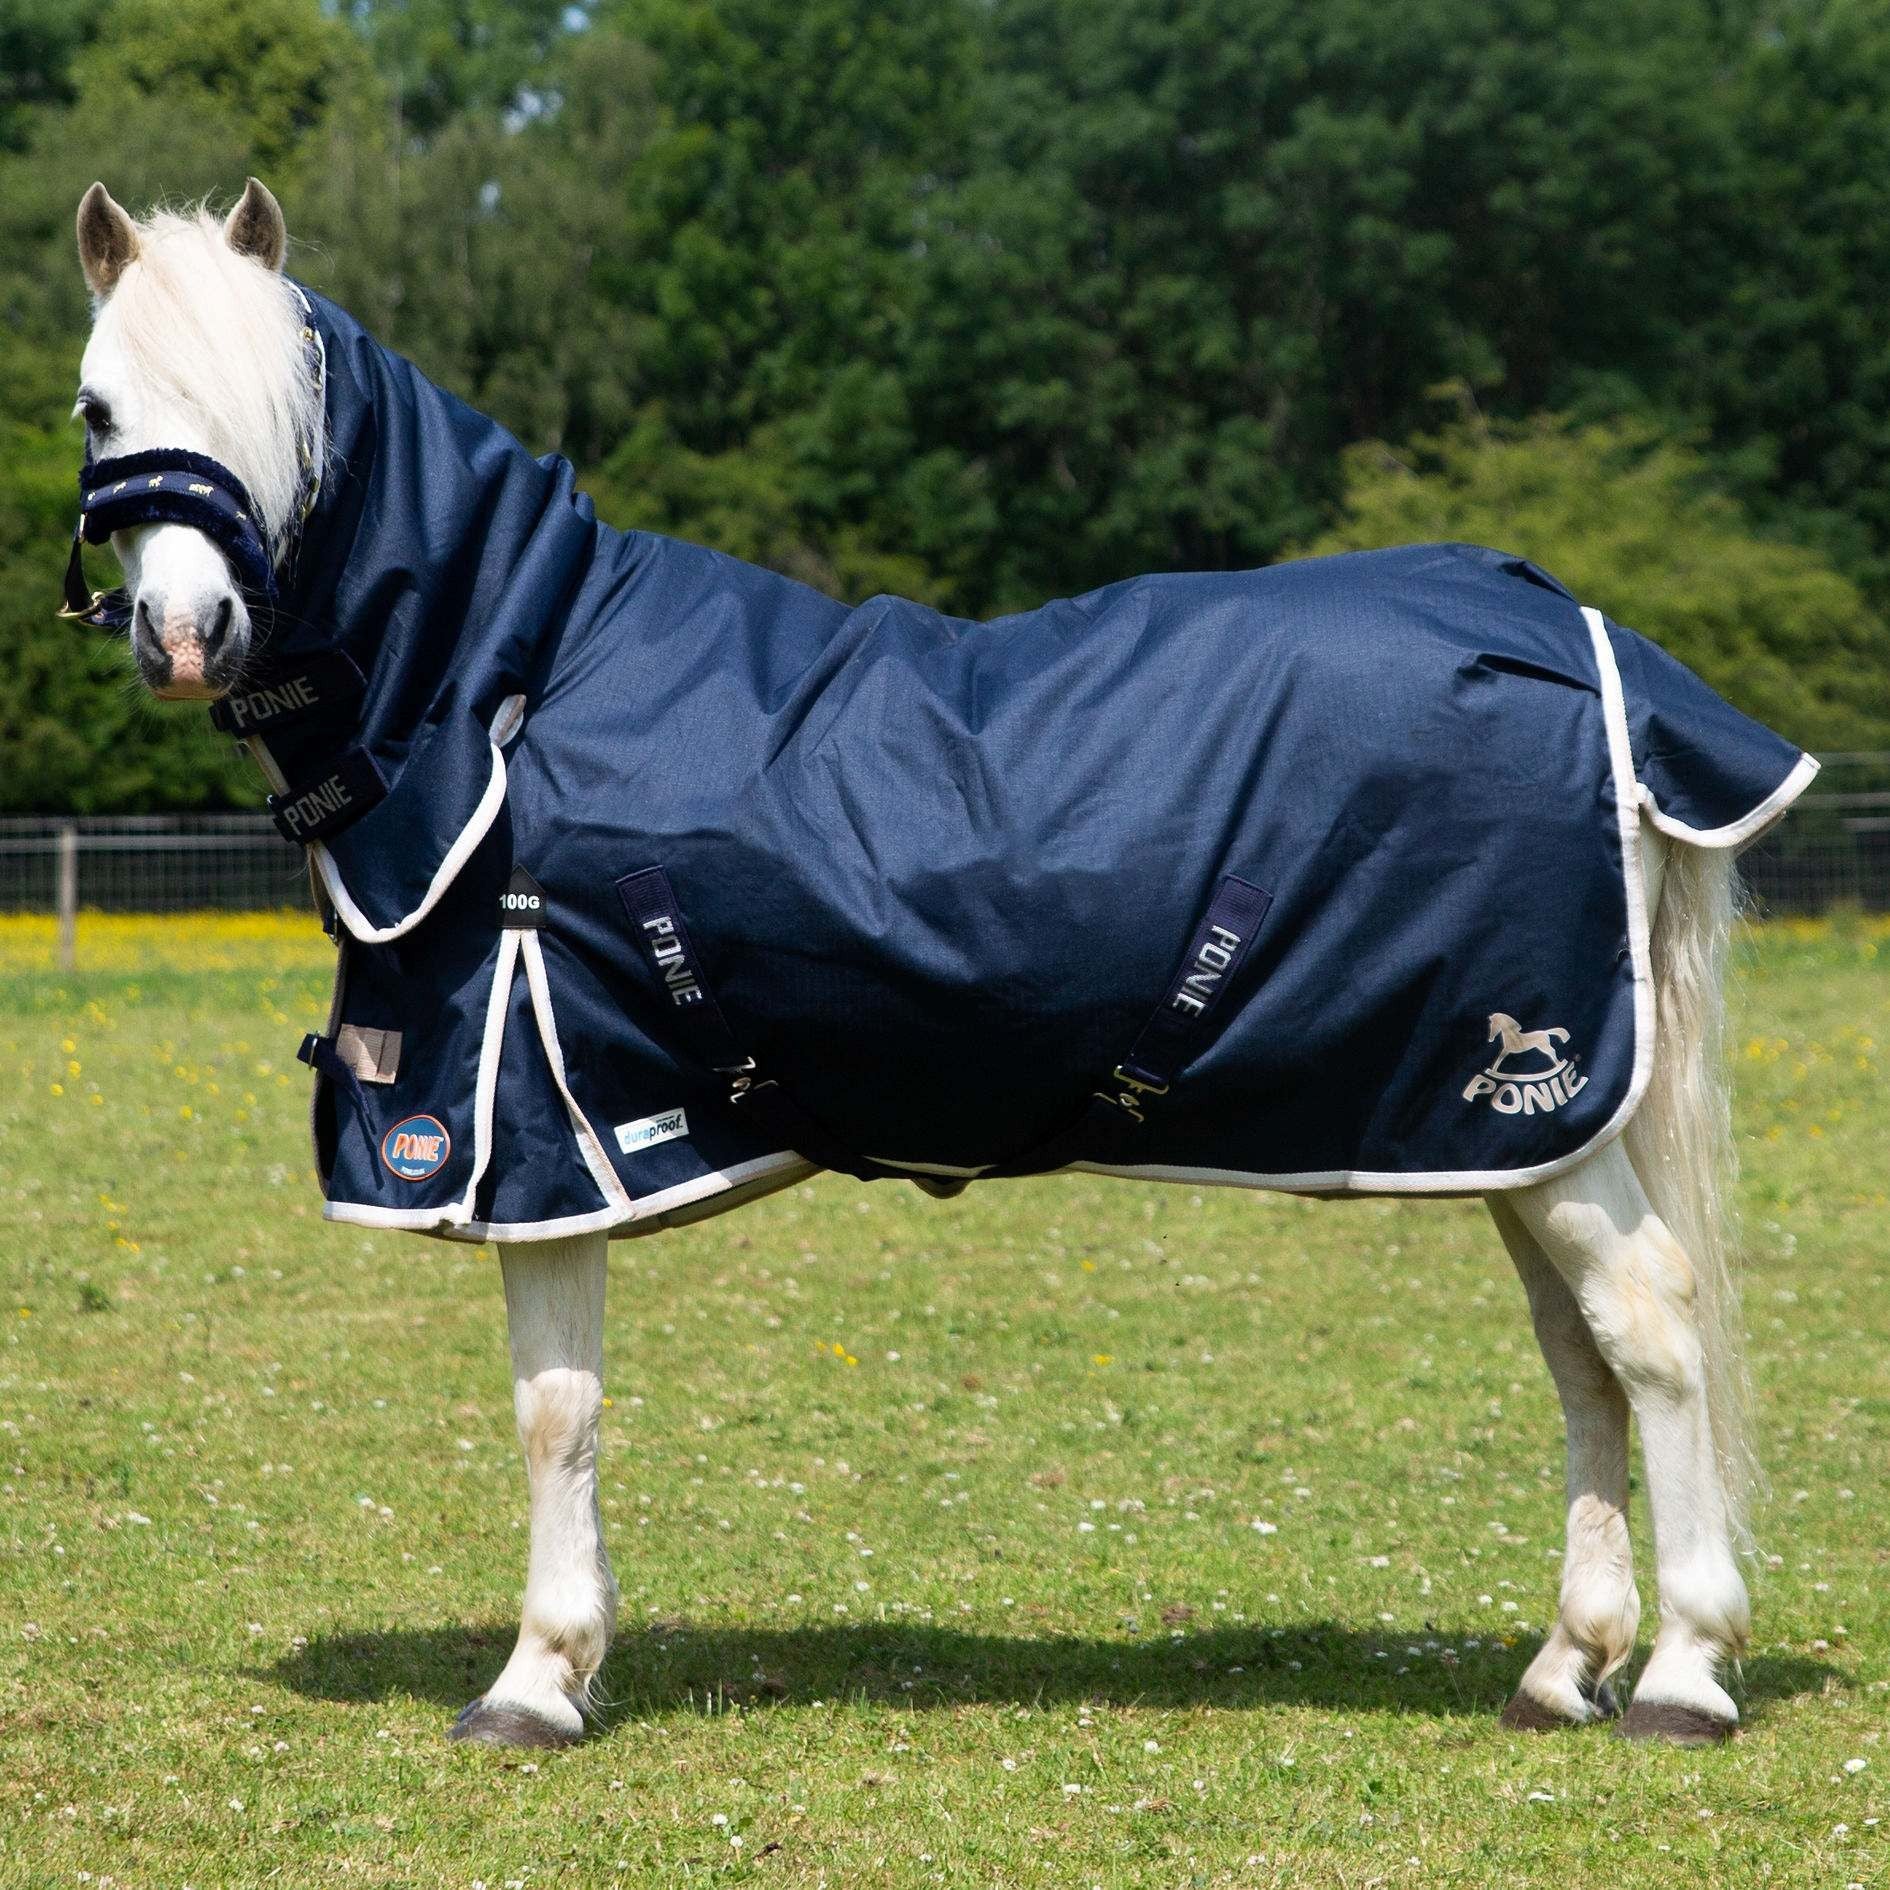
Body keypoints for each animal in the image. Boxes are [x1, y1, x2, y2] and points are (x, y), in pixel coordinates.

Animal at [66, 177, 1820, 1751]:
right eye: (98, 408)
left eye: (277, 407)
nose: (187, 635)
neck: (511, 694)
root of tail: (1580, 635)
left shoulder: (543, 1127)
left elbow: (553, 1407)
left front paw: (535, 1679)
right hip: (1502, 1127)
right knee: (1580, 1358)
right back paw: (1562, 1664)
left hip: (1535, 1109)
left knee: (1650, 1328)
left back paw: (1680, 1676)